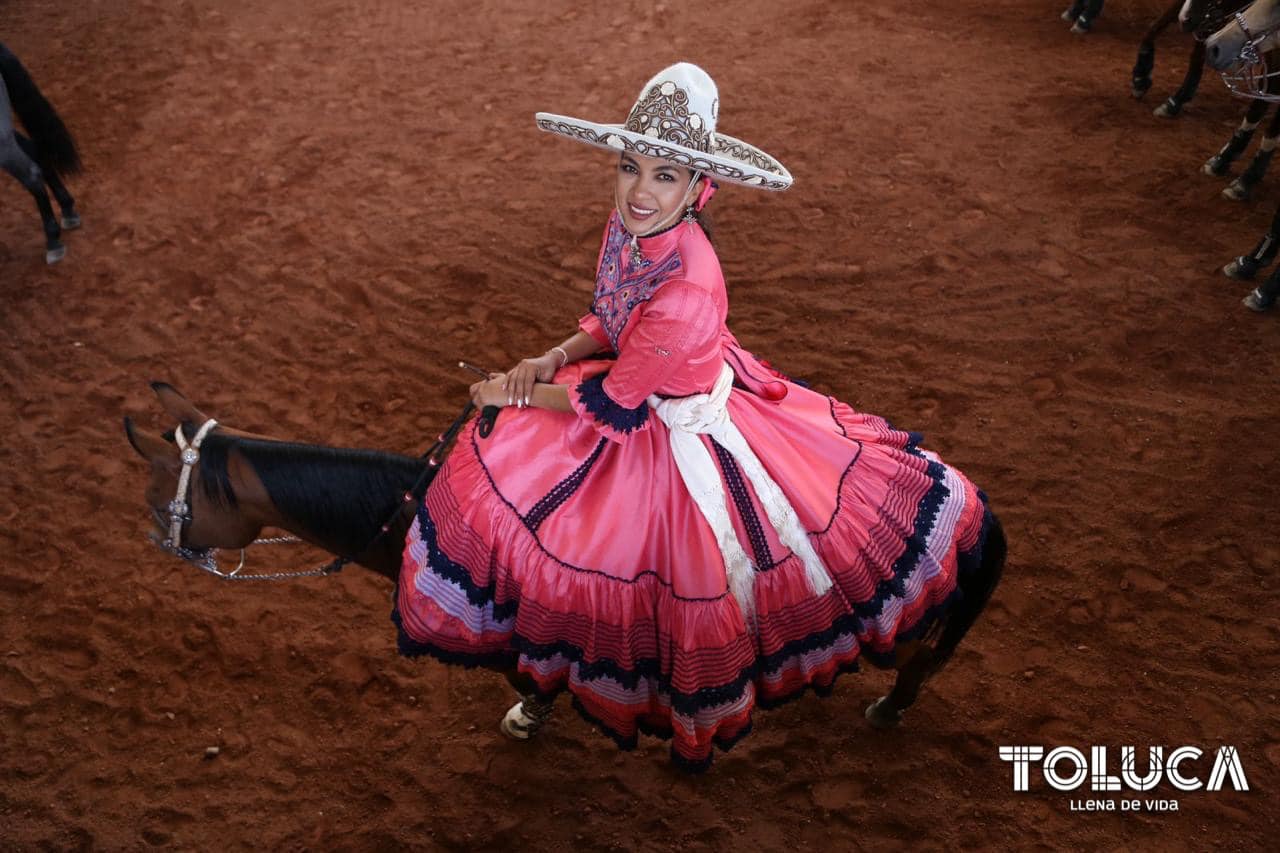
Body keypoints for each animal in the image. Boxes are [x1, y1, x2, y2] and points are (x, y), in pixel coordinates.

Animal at [127, 381, 1008, 758]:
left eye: (161, 491)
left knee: (920, 658)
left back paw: (890, 709)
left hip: (899, 624)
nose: (161, 541)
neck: (413, 512)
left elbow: (532, 674)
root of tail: (976, 511)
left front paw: (529, 715)